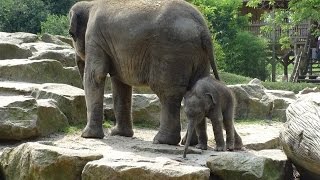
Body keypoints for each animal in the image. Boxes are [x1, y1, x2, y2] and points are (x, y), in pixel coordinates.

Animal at [68, 0, 219, 145]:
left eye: (71, 34)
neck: (90, 4)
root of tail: (203, 30)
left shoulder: (95, 36)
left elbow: (96, 75)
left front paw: (87, 135)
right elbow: (120, 83)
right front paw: (119, 134)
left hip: (171, 51)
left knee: (167, 92)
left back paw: (162, 140)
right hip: (199, 57)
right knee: (195, 91)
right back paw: (190, 143)